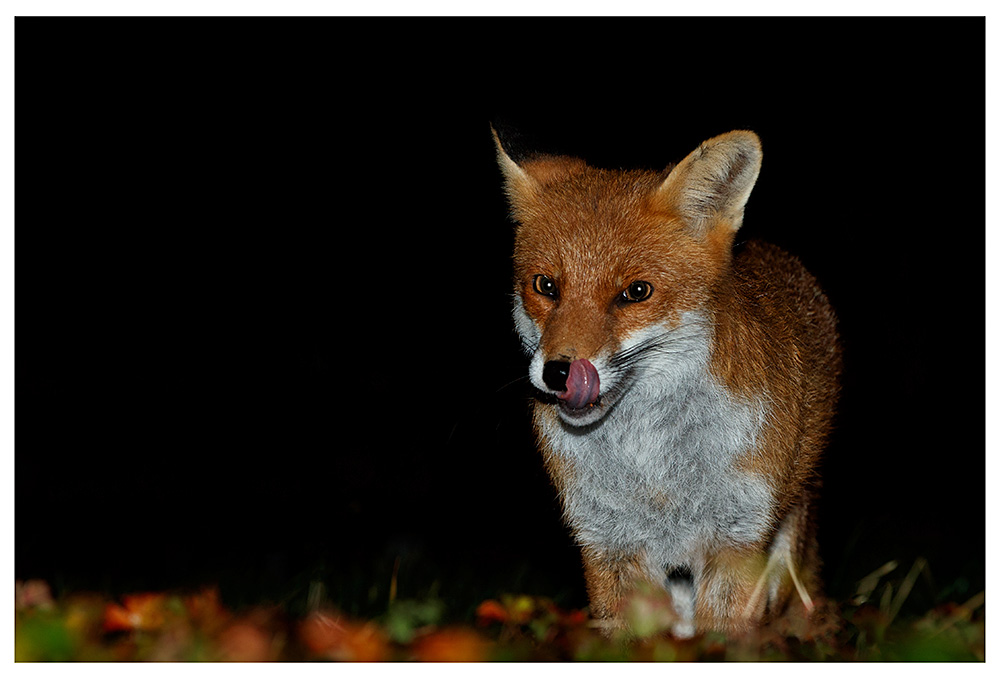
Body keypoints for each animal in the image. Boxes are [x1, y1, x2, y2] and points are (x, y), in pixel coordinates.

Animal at [493, 127, 842, 637]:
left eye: (636, 292)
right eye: (546, 286)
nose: (558, 372)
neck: (653, 466)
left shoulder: (737, 537)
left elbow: (723, 637)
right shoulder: (607, 540)